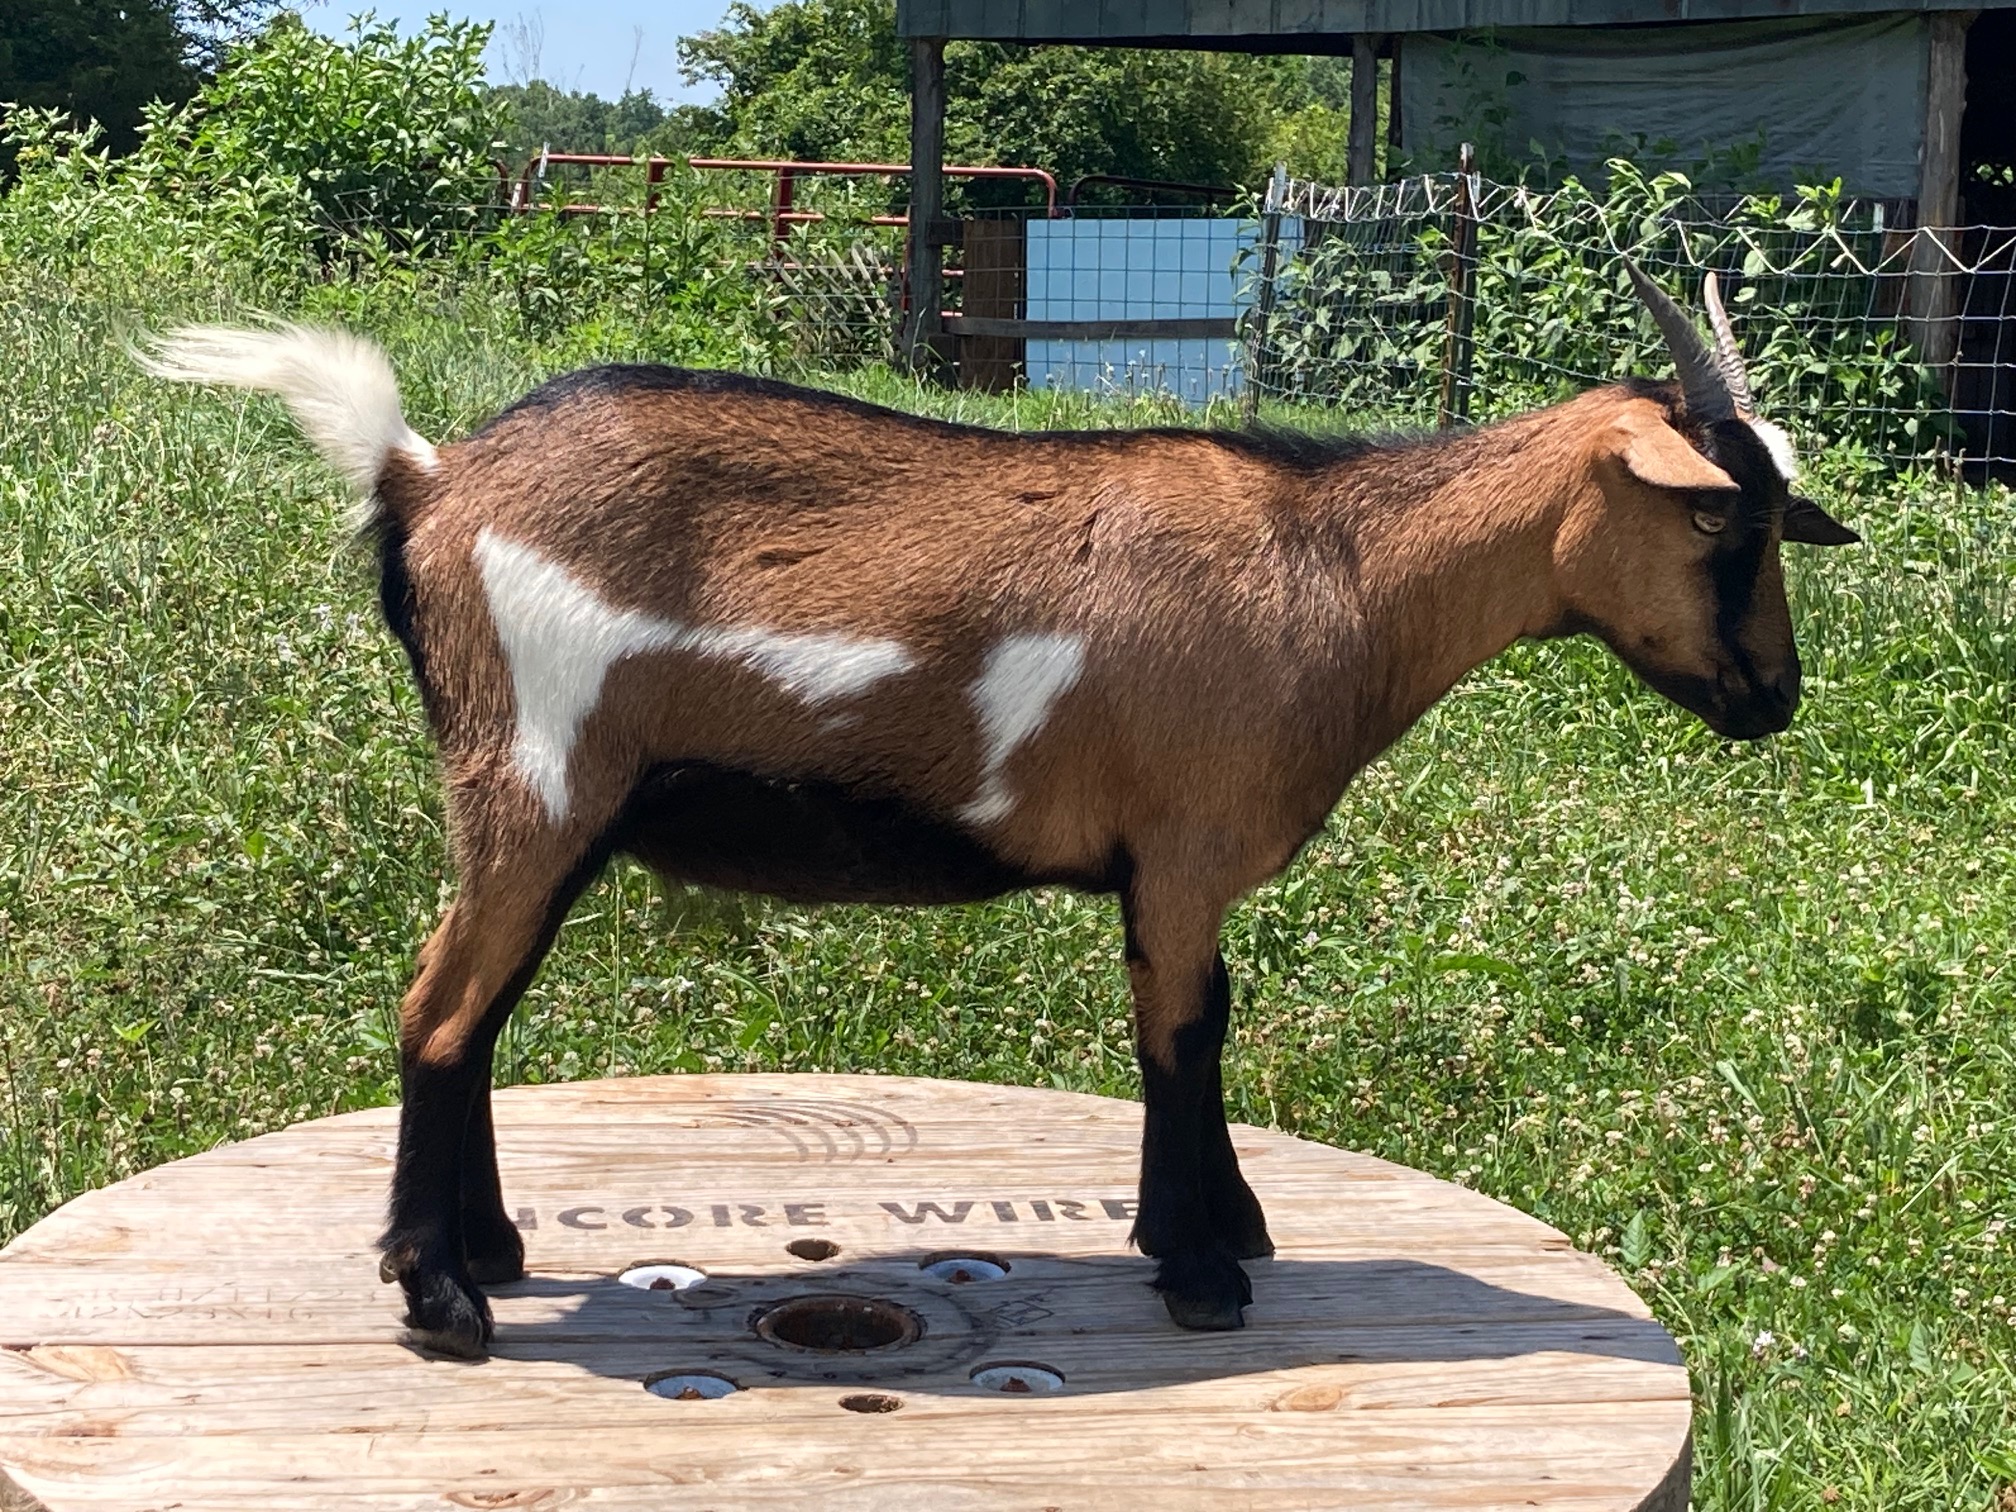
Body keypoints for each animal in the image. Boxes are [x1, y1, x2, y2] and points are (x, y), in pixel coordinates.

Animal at [139, 266, 1857, 1356]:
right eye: (1724, 522)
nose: (1775, 698)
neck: (1336, 578)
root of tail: (426, 479)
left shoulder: (1171, 867)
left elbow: (1193, 1025)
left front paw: (1212, 1235)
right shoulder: (1184, 849)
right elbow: (1187, 1033)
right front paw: (1205, 1272)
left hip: (545, 809)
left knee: (473, 1017)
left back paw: (487, 1252)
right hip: (534, 773)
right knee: (439, 1011)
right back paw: (442, 1304)